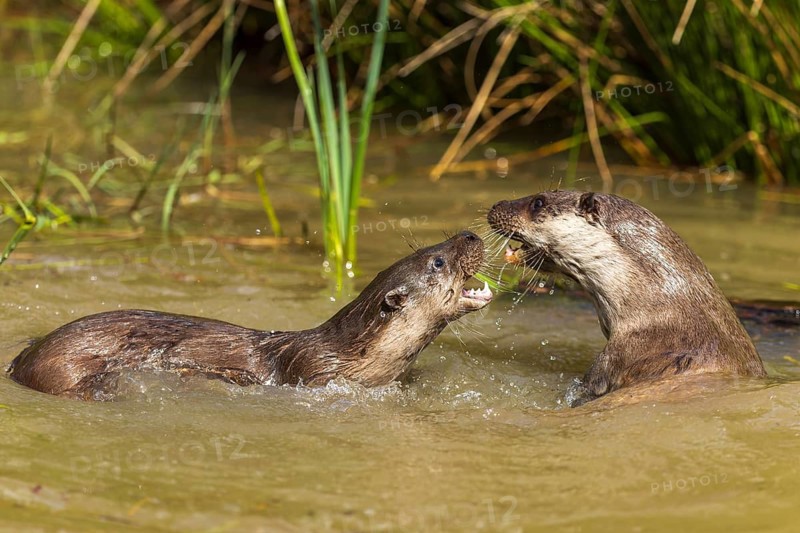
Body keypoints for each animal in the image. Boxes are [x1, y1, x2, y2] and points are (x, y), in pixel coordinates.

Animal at [8, 231, 493, 399]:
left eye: (434, 244)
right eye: (437, 261)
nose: (470, 234)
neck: (352, 354)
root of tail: (19, 364)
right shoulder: (316, 374)